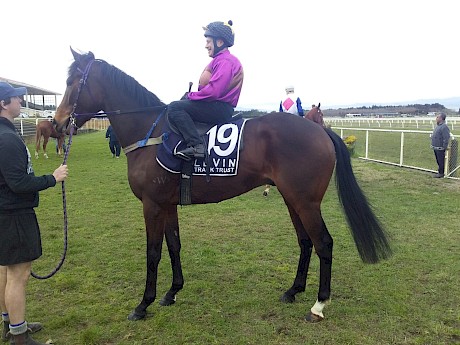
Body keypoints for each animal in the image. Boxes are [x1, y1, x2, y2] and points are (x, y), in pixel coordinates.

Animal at [54, 49, 392, 322]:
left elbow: (153, 253)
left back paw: (319, 305)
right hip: (292, 199)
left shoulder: (152, 205)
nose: (57, 122)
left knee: (323, 243)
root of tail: (320, 132)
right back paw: (293, 290)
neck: (150, 132)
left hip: (306, 202)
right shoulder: (167, 204)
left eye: (73, 82)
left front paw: (143, 305)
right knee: (306, 241)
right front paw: (172, 292)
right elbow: (174, 246)